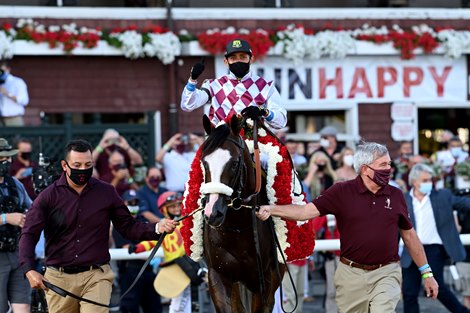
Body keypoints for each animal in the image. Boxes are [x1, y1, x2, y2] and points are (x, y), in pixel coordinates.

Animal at [200, 115, 284, 312]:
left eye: (234, 163)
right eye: (204, 162)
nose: (213, 213)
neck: (237, 229)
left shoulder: (263, 280)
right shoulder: (218, 276)